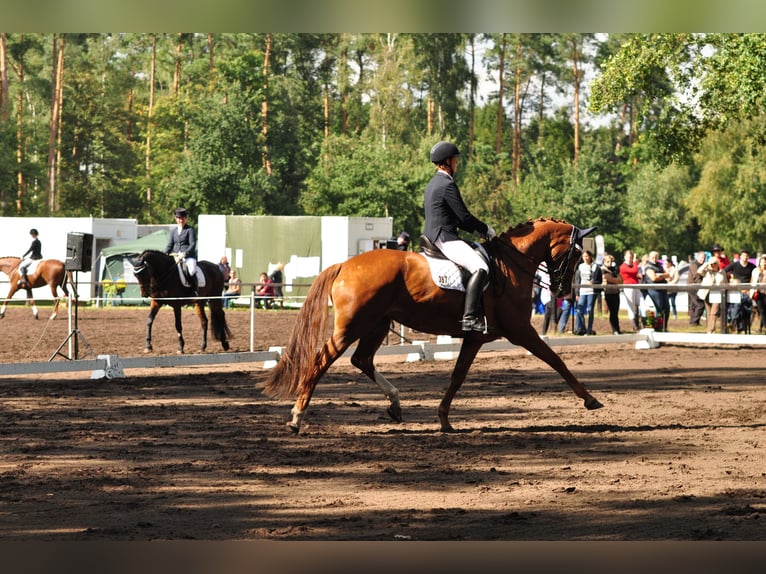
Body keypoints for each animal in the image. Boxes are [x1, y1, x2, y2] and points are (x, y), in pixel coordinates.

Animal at [264, 218, 608, 434]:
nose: (564, 290)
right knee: (322, 360)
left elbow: (457, 377)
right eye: (577, 253)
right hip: (352, 326)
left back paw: (395, 404)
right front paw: (590, 399)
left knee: (362, 359)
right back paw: (297, 417)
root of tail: (344, 264)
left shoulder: (475, 338)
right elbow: (556, 360)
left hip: (377, 324)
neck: (511, 266)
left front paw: (444, 420)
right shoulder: (521, 331)